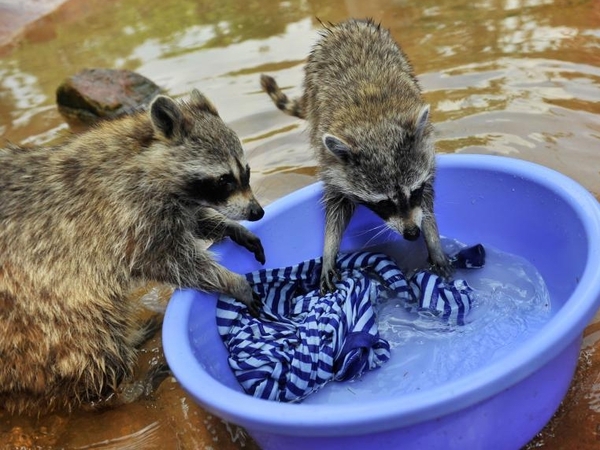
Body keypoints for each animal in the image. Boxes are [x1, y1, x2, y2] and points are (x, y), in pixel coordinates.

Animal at [0, 89, 264, 414]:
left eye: (247, 172)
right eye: (224, 179)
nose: (257, 211)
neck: (142, 159)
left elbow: (190, 222)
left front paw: (226, 226)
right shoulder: (125, 216)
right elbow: (172, 261)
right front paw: (231, 279)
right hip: (39, 310)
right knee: (91, 341)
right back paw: (118, 392)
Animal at [260, 18, 452, 292]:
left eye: (413, 192)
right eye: (384, 203)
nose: (412, 233)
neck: (375, 124)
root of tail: (345, 25)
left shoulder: (426, 155)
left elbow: (427, 202)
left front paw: (432, 238)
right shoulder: (332, 164)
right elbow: (335, 211)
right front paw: (329, 248)